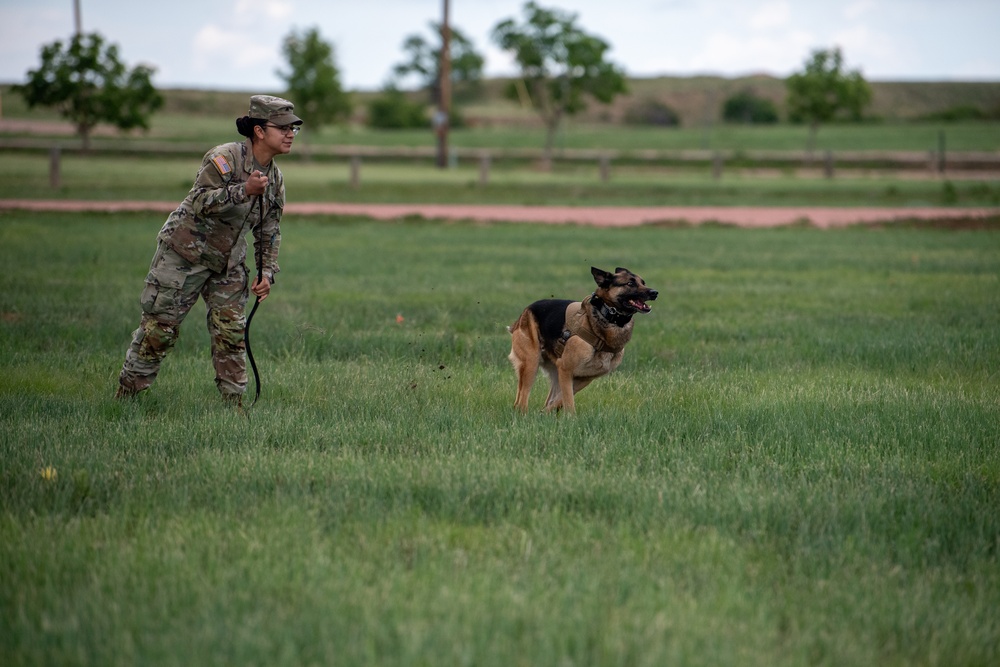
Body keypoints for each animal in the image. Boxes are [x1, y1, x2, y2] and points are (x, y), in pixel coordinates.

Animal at [508, 268, 656, 414]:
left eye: (643, 282)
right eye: (630, 283)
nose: (655, 293)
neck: (605, 315)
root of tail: (525, 312)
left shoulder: (583, 377)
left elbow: (560, 399)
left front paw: (545, 412)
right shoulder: (566, 369)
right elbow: (568, 401)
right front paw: (571, 418)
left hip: (554, 372)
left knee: (545, 399)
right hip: (531, 363)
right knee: (520, 402)